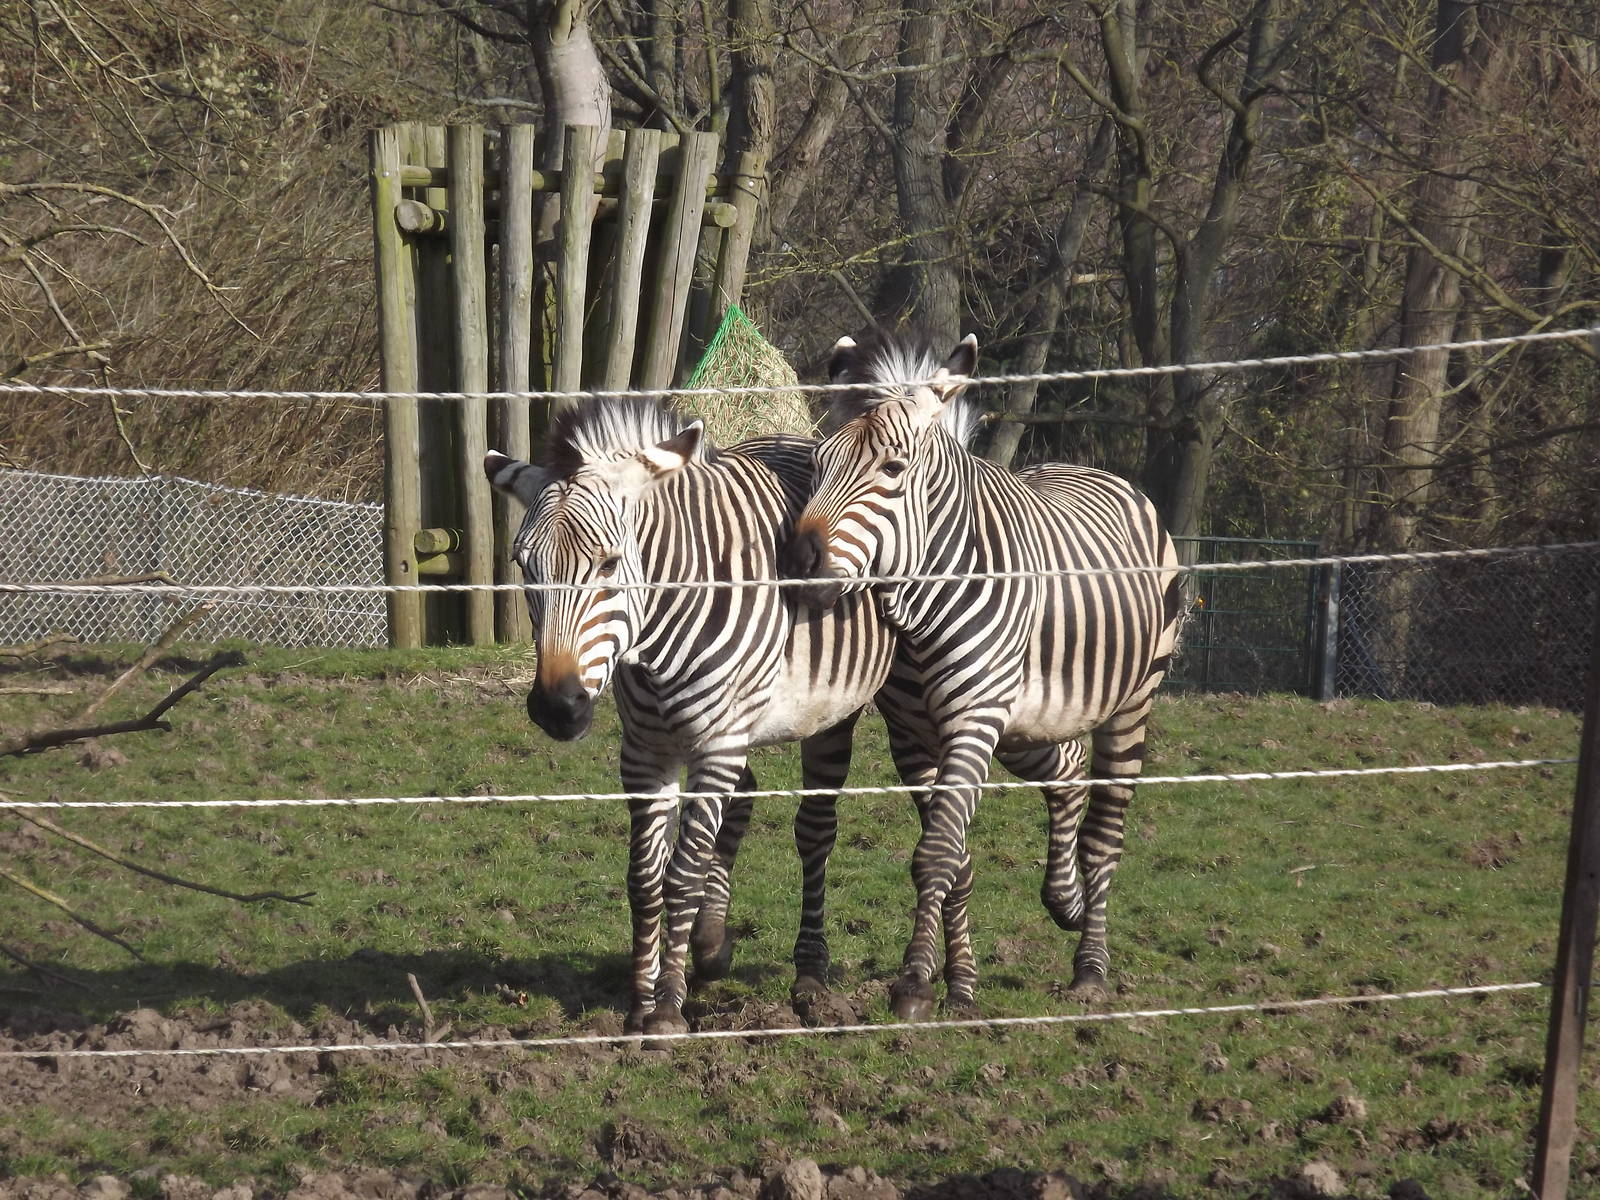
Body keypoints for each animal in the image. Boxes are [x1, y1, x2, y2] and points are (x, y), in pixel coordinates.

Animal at [483, 396, 908, 1037]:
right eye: (522, 563)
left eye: (609, 563)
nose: (558, 708)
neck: (656, 635)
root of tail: (794, 438)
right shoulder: (645, 753)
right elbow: (643, 878)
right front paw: (640, 1001)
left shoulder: (715, 744)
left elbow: (680, 874)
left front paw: (664, 1012)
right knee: (746, 796)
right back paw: (710, 946)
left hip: (825, 716)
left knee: (815, 831)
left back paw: (809, 975)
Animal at [780, 331, 1185, 1019]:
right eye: (816, 464)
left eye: (892, 470)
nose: (795, 569)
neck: (923, 605)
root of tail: (1098, 471)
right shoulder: (915, 735)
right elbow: (955, 858)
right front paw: (960, 983)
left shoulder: (971, 721)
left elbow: (938, 853)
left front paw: (916, 983)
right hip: (1027, 725)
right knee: (1066, 769)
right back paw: (1066, 901)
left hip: (1129, 704)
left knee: (1105, 834)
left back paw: (1090, 969)